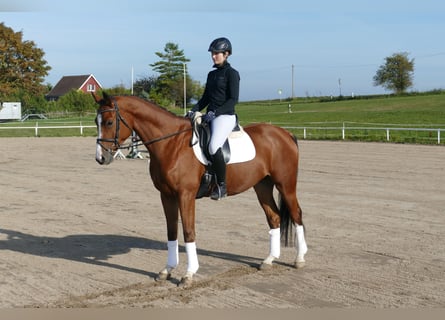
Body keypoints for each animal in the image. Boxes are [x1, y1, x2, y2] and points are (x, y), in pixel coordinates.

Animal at [93, 92, 306, 284]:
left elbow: (188, 231)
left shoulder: (185, 195)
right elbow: (171, 231)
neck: (172, 144)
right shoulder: (166, 196)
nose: (101, 158)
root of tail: (284, 133)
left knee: (296, 214)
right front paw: (167, 270)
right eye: (96, 121)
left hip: (285, 184)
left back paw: (300, 259)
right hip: (262, 186)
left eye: (110, 122)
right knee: (274, 217)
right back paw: (269, 260)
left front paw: (189, 274)